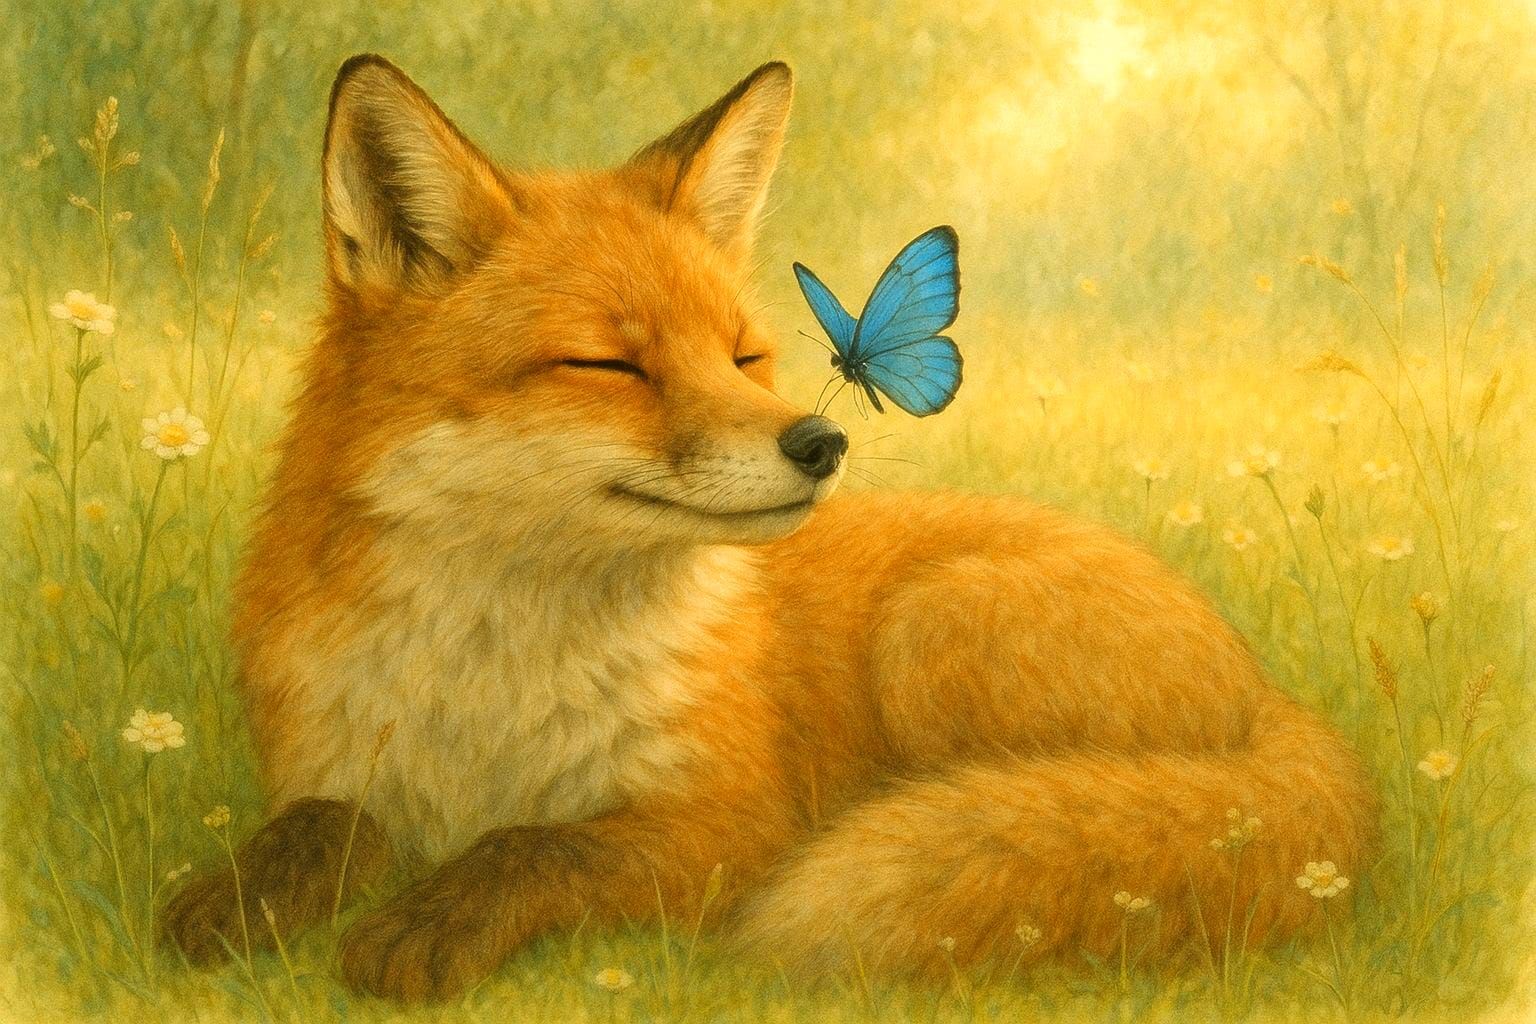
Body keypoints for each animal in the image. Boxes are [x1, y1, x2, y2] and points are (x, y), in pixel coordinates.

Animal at [161, 54, 1377, 1002]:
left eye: (741, 354)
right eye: (609, 365)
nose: (819, 443)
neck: (493, 686)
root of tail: (1271, 697)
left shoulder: (728, 829)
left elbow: (537, 846)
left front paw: (428, 921)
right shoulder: (336, 767)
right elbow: (318, 828)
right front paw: (230, 901)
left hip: (932, 630)